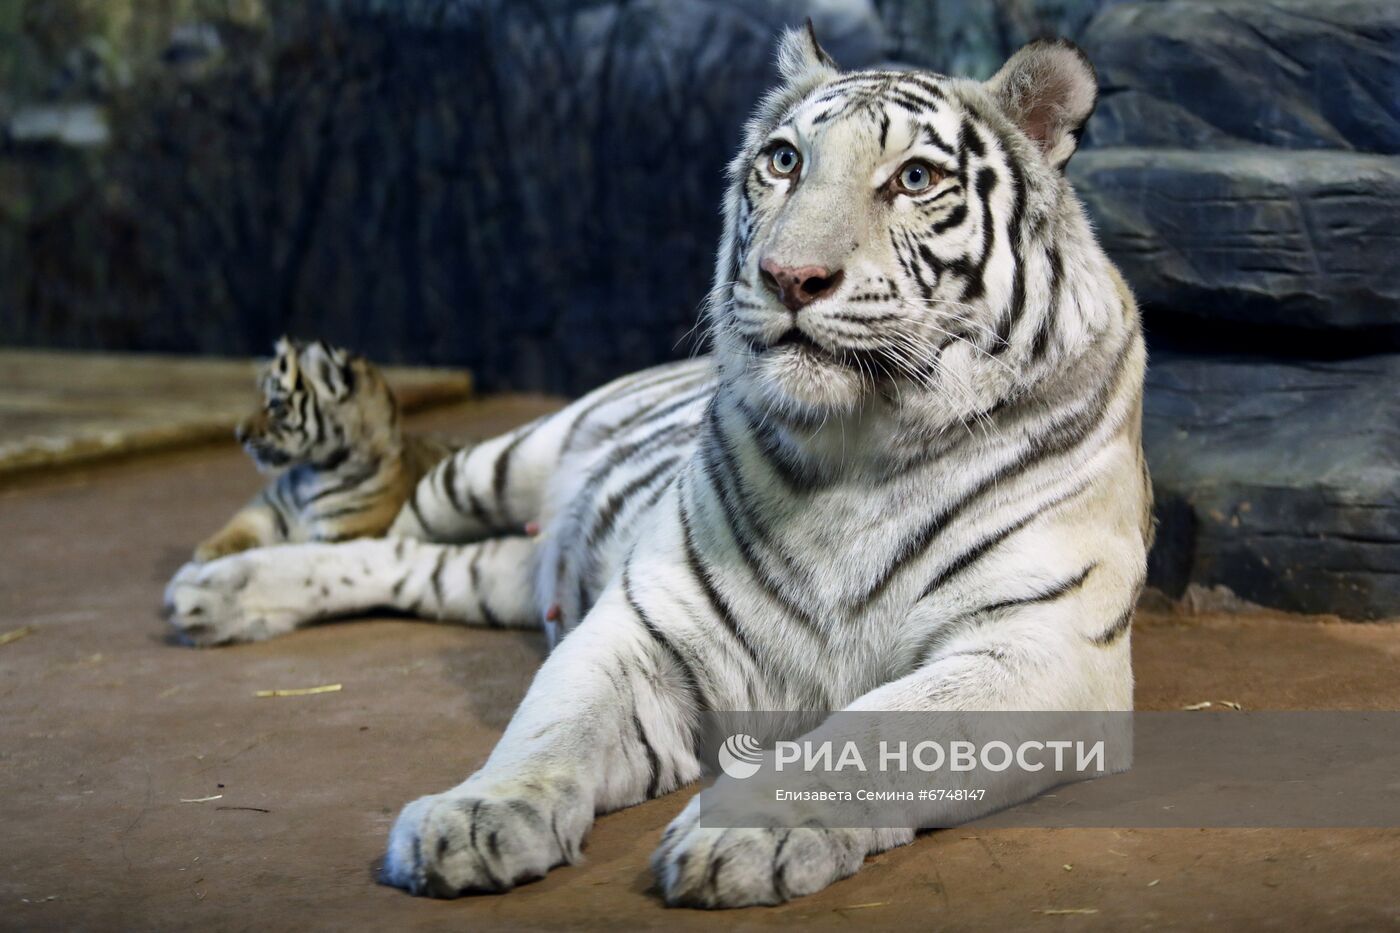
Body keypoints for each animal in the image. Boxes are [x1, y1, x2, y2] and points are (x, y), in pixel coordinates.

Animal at [163, 25, 1148, 902]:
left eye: (914, 178)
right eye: (784, 161)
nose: (789, 276)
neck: (857, 449)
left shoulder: (1037, 645)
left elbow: (871, 730)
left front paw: (748, 832)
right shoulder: (646, 623)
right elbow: (549, 726)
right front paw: (478, 815)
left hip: (503, 563)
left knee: (404, 561)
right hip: (501, 463)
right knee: (367, 526)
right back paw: (212, 586)